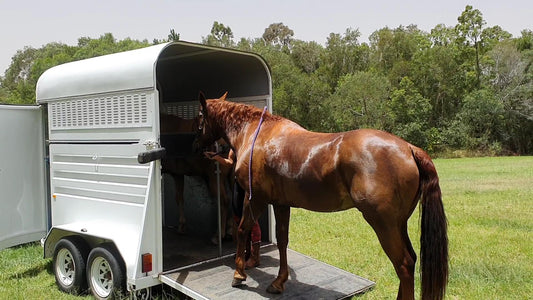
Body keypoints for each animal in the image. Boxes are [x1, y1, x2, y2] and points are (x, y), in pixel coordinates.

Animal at [193, 92, 446, 298]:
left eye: (199, 117)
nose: (196, 147)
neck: (258, 134)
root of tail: (409, 148)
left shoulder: (255, 199)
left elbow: (243, 229)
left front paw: (239, 274)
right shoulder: (281, 204)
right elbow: (282, 240)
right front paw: (279, 282)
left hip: (384, 224)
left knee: (403, 264)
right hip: (399, 224)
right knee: (410, 260)